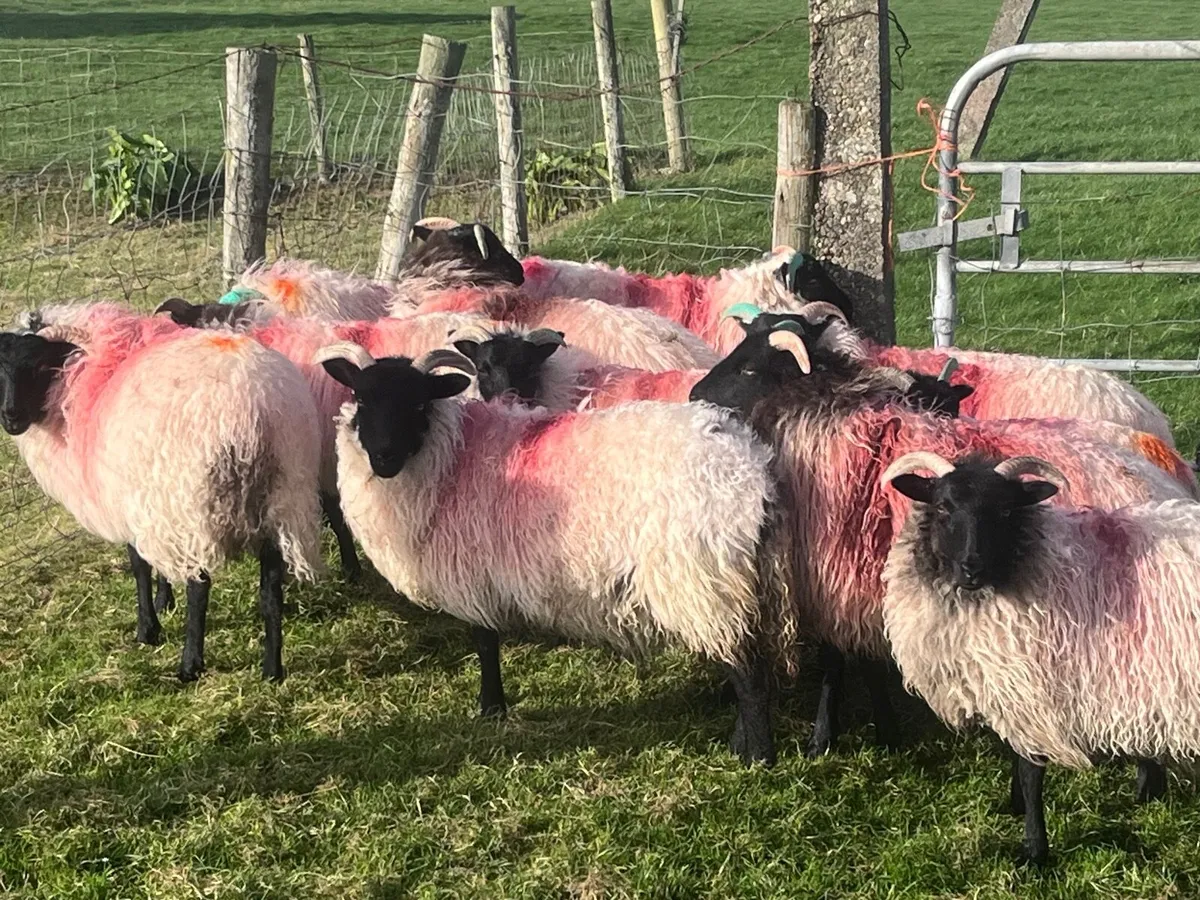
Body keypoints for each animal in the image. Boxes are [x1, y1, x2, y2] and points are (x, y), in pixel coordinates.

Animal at [1, 304, 323, 682]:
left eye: (38, 366)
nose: (10, 418)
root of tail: (255, 413)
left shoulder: (131, 499)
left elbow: (139, 565)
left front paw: (148, 628)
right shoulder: (153, 503)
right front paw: (163, 601)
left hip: (196, 506)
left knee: (200, 586)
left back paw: (189, 664)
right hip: (282, 496)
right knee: (270, 591)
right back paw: (272, 669)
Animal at [316, 341, 793, 765]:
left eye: (418, 404)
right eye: (360, 398)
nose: (383, 457)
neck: (452, 456)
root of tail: (748, 467)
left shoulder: (473, 573)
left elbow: (484, 643)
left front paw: (491, 708)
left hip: (703, 581)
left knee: (749, 675)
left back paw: (758, 757)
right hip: (739, 584)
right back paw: (739, 742)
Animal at [686, 320, 1195, 757]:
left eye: (750, 368)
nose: (695, 395)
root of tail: (1163, 463)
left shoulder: (841, 581)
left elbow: (841, 663)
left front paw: (828, 737)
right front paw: (883, 732)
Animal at [881, 451, 1200, 864]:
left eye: (1004, 510)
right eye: (942, 507)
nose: (971, 566)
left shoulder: (1035, 693)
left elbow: (1031, 771)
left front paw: (1034, 849)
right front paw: (1015, 806)